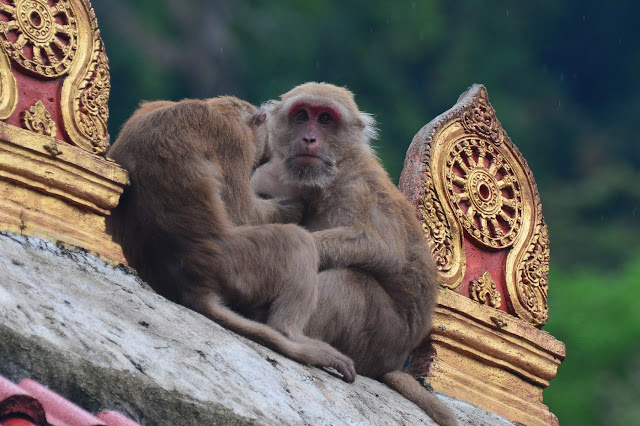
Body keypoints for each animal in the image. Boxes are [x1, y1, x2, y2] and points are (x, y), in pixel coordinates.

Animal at [105, 96, 356, 382]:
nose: (261, 160)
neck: (218, 109)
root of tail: (192, 283)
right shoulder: (233, 141)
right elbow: (242, 213)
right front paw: (293, 206)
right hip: (241, 266)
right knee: (296, 242)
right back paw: (289, 333)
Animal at [252, 83, 458, 426]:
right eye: (302, 115)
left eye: (325, 119)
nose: (309, 138)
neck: (329, 175)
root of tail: (393, 362)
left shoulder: (356, 188)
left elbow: (379, 246)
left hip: (382, 339)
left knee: (348, 281)